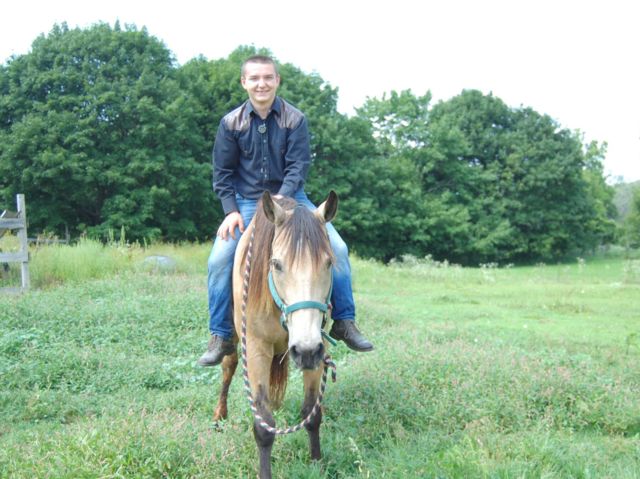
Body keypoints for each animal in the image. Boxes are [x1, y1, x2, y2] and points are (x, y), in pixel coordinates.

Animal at [213, 190, 338, 479]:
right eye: (277, 264)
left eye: (329, 262)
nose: (305, 350)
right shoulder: (256, 349)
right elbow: (263, 426)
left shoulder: (318, 349)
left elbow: (312, 413)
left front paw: (316, 463)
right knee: (227, 365)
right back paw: (219, 416)